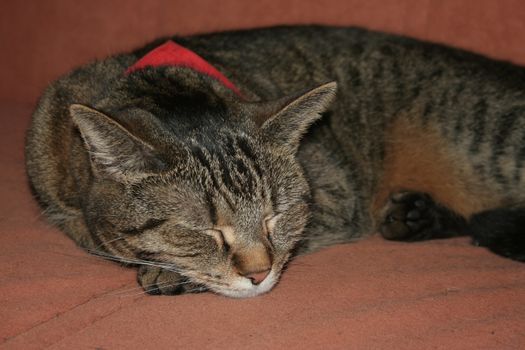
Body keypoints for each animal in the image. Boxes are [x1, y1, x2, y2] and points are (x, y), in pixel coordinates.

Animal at [26, 25, 524, 298]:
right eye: (202, 230)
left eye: (276, 215)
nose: (258, 275)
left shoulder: (337, 197)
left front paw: (168, 275)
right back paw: (414, 217)